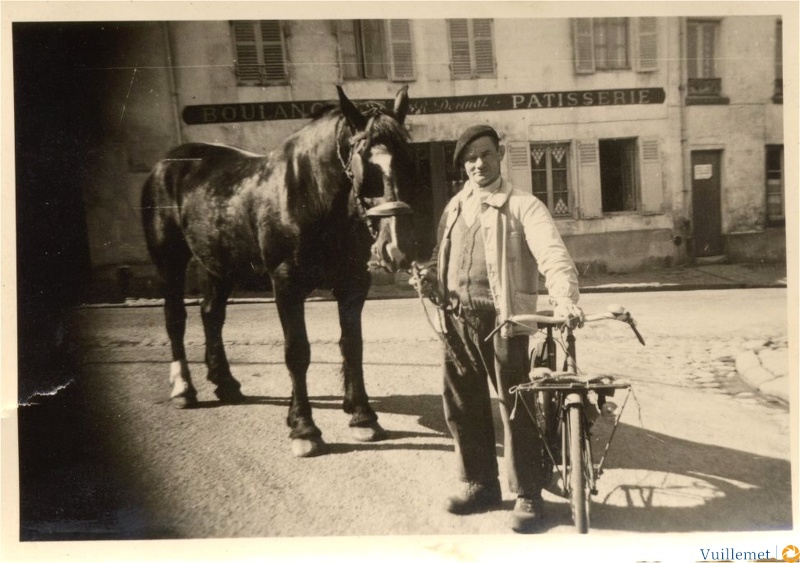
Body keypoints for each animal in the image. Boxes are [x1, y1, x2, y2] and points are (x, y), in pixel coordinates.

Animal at [141, 85, 416, 458]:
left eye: (407, 158)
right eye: (364, 164)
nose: (395, 246)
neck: (310, 193)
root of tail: (165, 164)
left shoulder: (353, 284)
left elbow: (352, 346)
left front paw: (362, 416)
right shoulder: (286, 284)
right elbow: (297, 352)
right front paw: (304, 428)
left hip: (219, 264)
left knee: (211, 314)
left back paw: (225, 383)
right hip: (169, 261)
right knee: (175, 318)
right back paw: (183, 388)